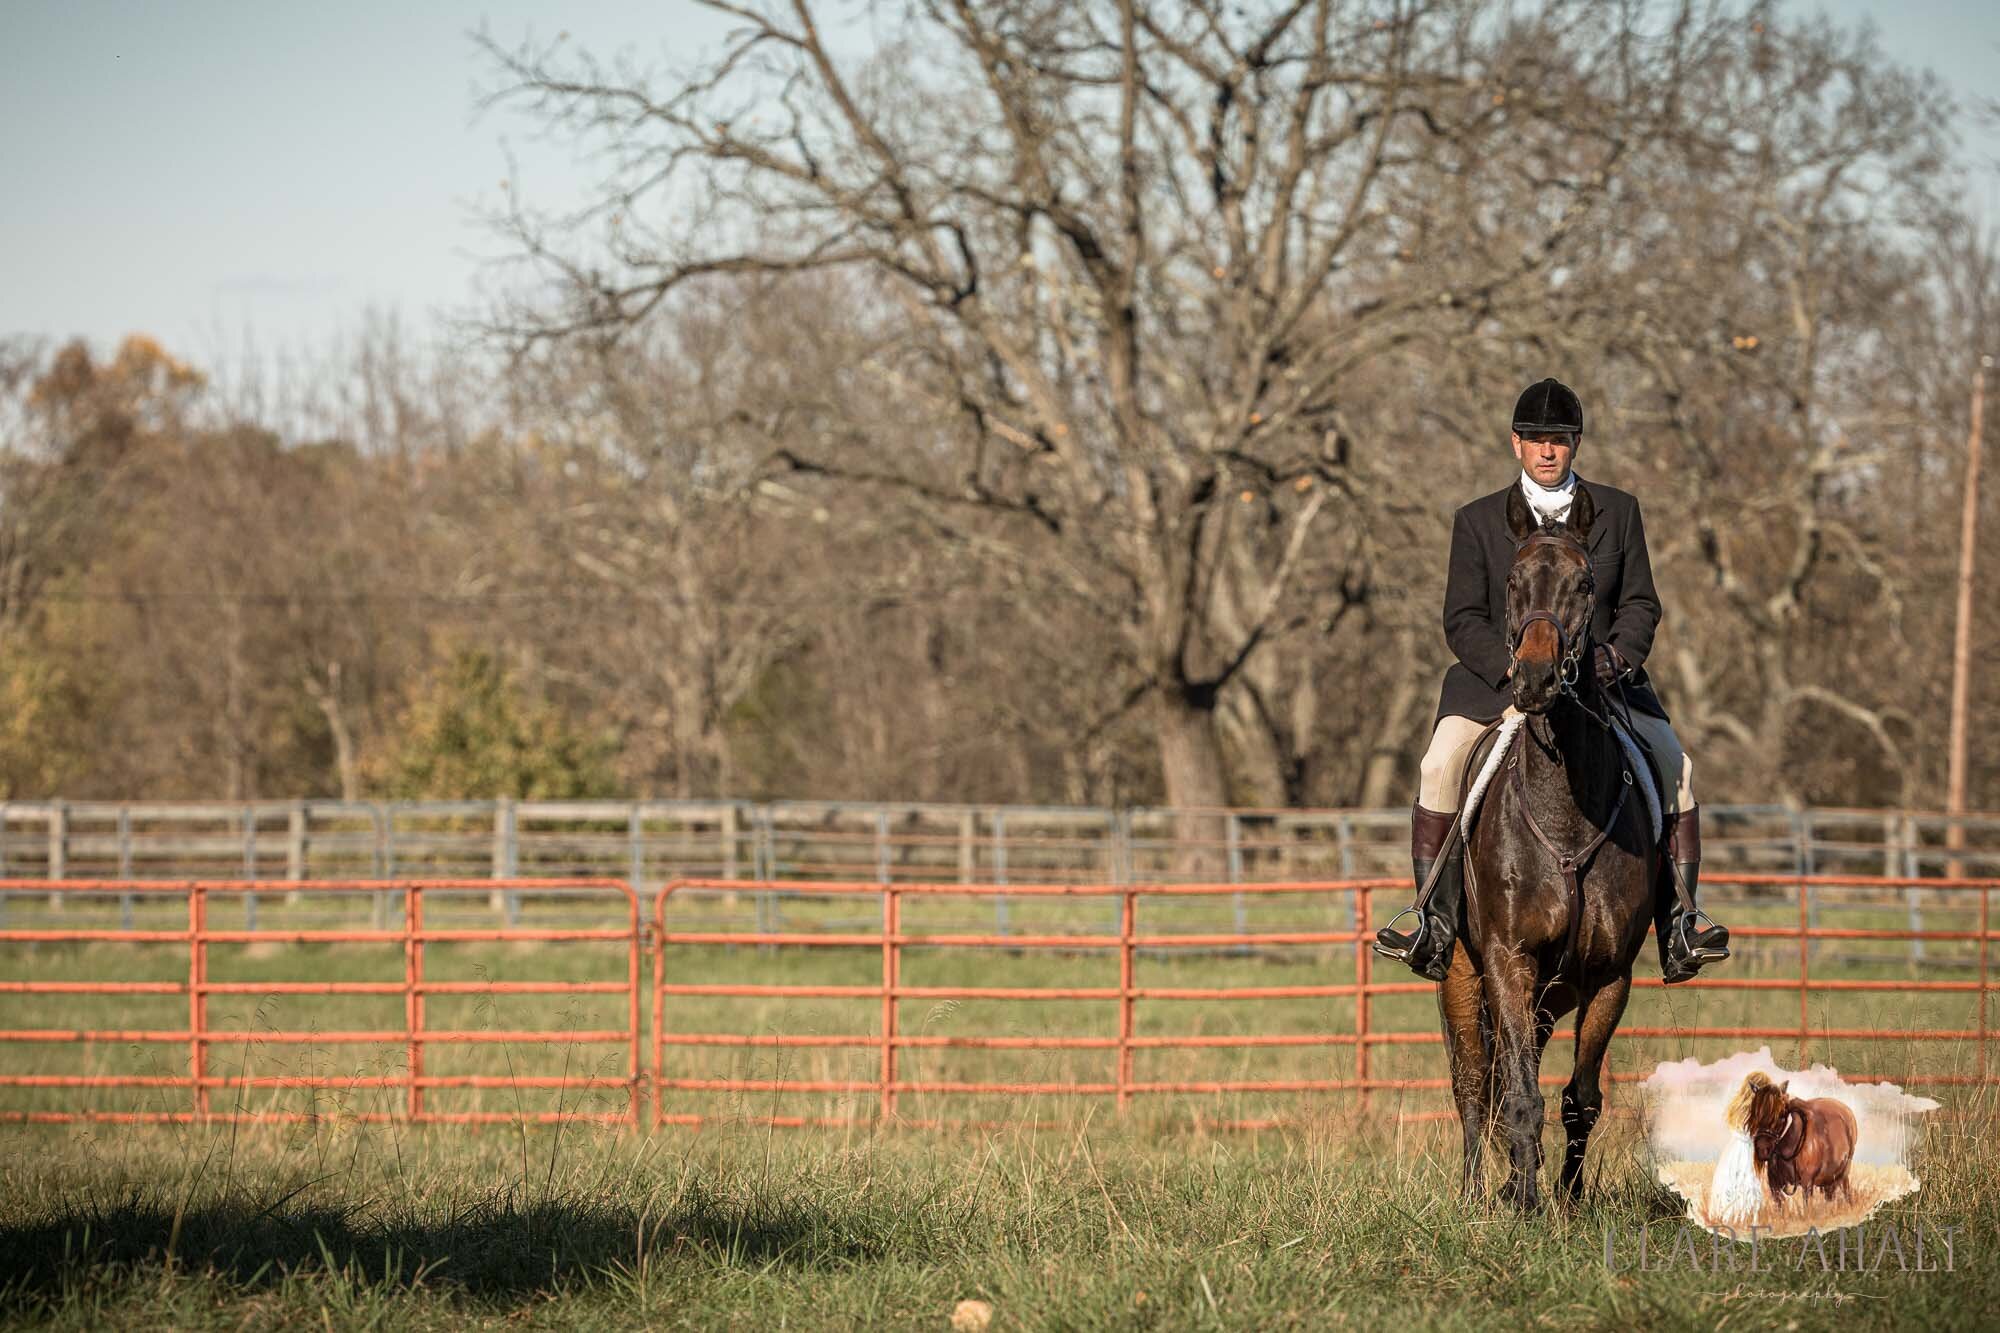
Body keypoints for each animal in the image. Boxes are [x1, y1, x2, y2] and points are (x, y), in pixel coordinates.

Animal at [1440, 482, 1656, 1208]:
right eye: (1512, 582)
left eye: (1585, 584)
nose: (1533, 680)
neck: (1565, 811)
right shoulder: (1508, 960)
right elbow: (1518, 1096)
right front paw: (1528, 1202)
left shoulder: (1610, 976)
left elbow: (1579, 1098)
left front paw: (1566, 1195)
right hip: (1464, 974)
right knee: (1475, 1086)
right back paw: (1478, 1191)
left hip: (1547, 996)